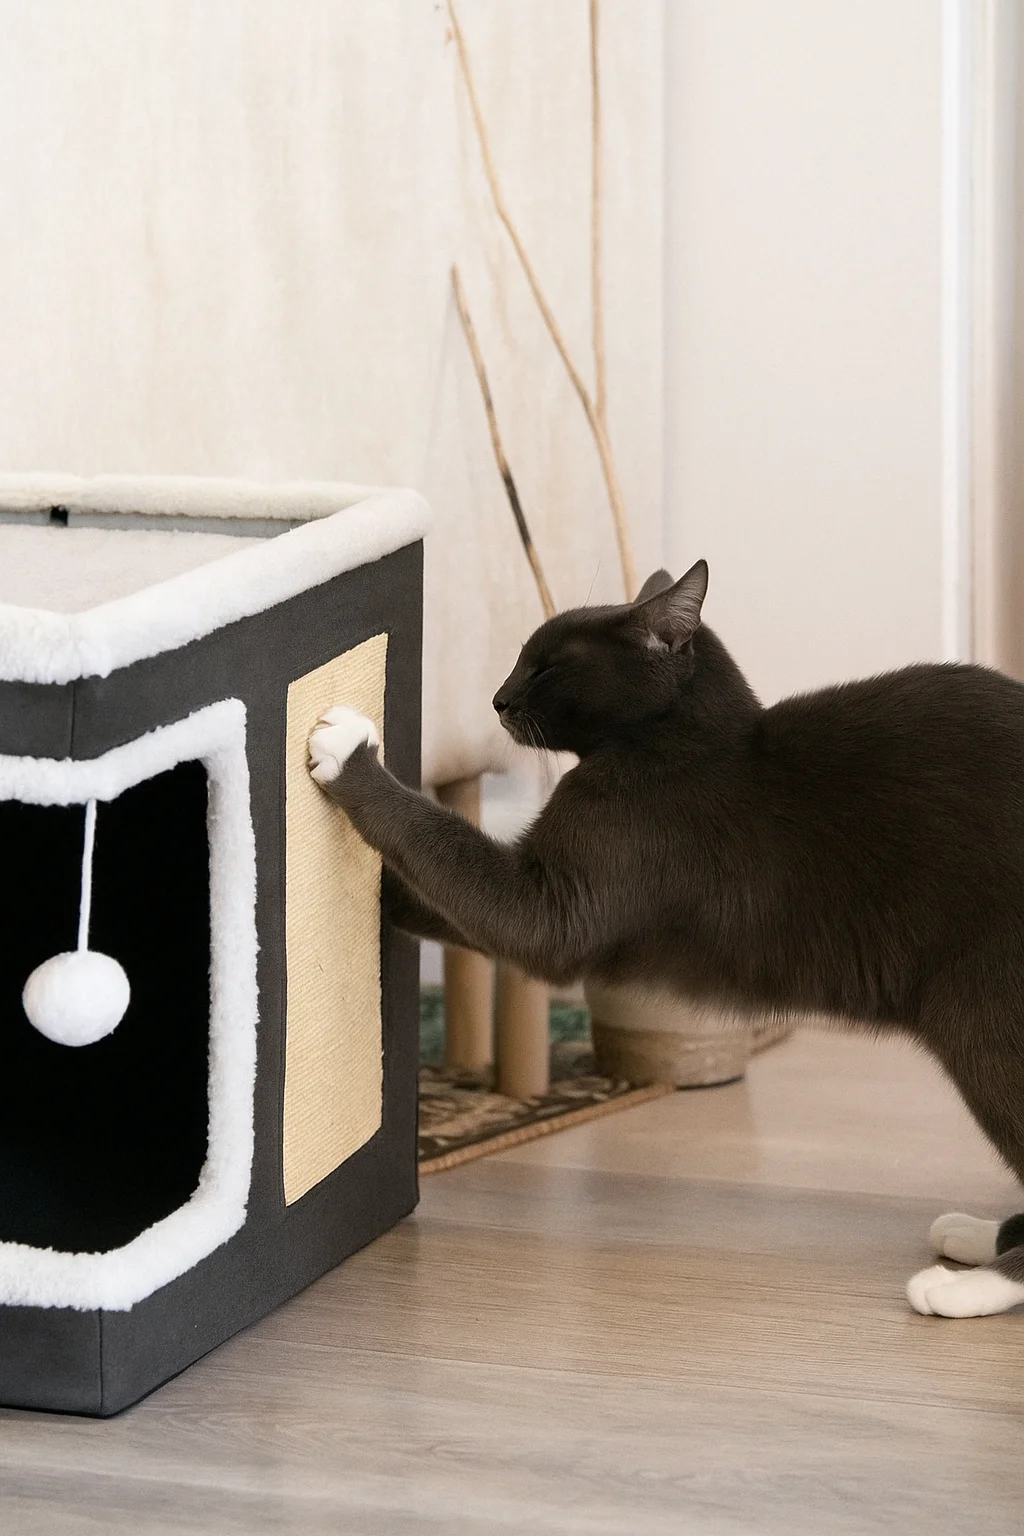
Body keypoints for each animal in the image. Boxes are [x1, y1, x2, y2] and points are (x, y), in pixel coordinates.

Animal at [308, 562, 1024, 1319]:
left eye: (547, 665)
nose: (498, 699)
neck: (673, 740)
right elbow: (446, 894)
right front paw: (378, 895)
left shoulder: (560, 901)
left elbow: (450, 852)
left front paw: (350, 753)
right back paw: (977, 1234)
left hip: (983, 1016)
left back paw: (969, 1285)